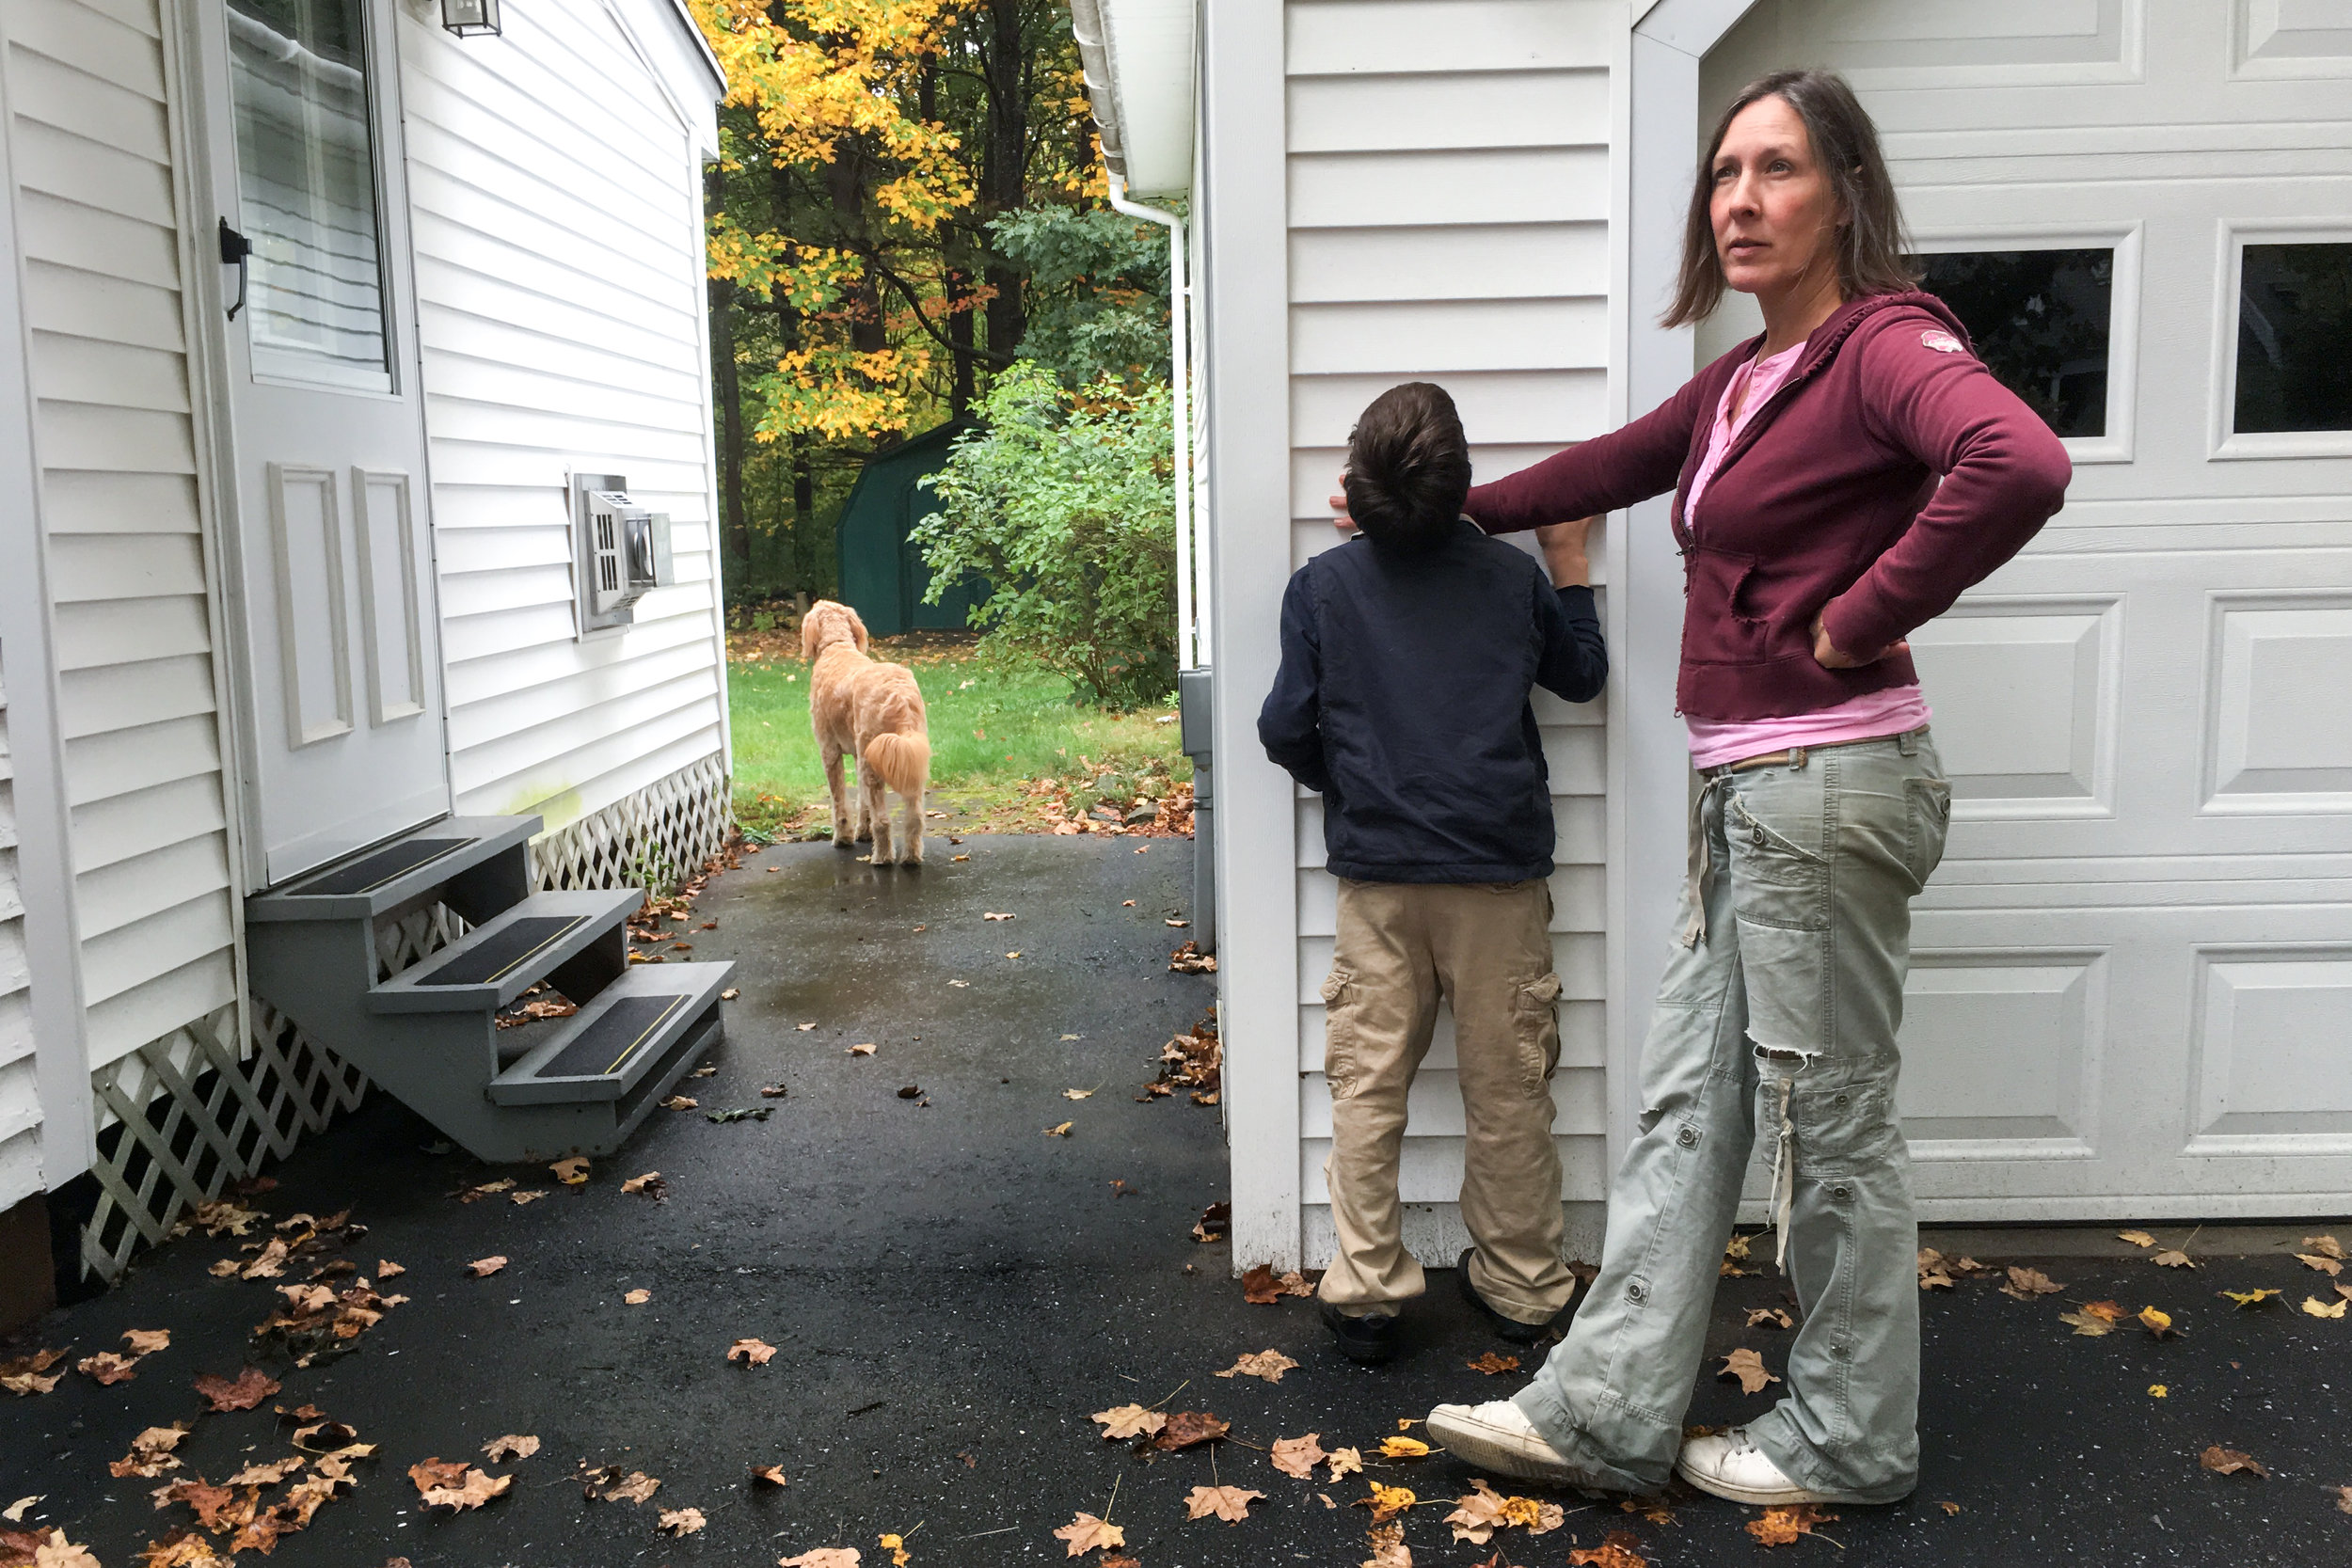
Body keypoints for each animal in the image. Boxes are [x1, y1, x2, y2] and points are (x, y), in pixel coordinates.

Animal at [800, 606, 927, 869]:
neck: (837, 645)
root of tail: (899, 694)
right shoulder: (859, 755)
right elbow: (862, 801)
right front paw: (862, 832)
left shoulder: (830, 751)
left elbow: (839, 800)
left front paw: (843, 838)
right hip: (909, 757)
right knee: (915, 817)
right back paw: (911, 856)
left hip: (875, 762)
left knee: (884, 820)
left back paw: (882, 857)